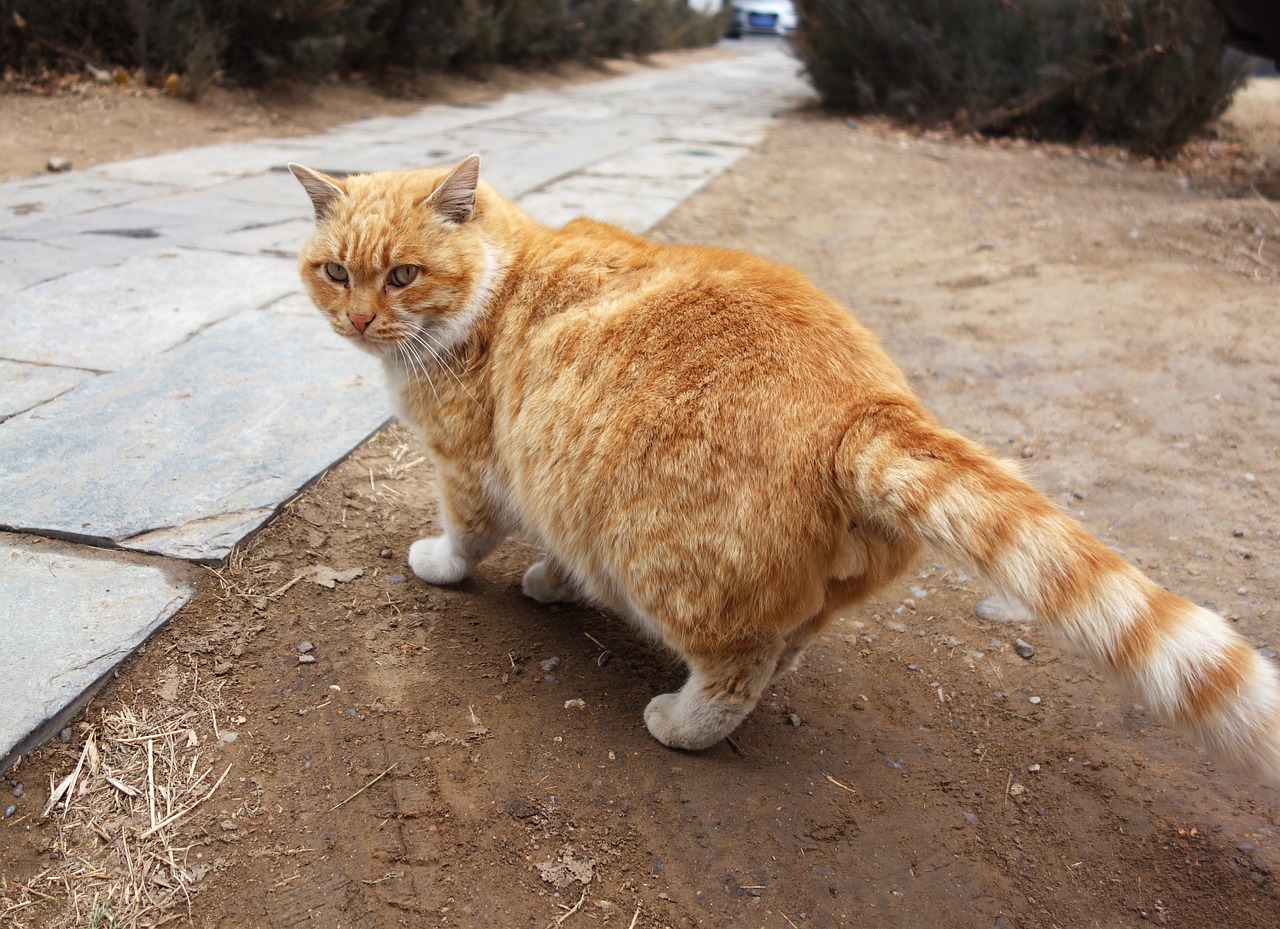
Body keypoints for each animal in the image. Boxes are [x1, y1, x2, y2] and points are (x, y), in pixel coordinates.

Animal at [290, 156, 1280, 783]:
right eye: (335, 272)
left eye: (404, 275)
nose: (358, 320)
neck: (498, 285)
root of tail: (866, 408)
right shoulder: (546, 485)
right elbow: (556, 551)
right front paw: (552, 580)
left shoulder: (468, 469)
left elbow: (463, 537)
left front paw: (445, 567)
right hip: (803, 584)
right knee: (790, 641)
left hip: (672, 570)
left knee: (737, 668)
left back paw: (680, 721)